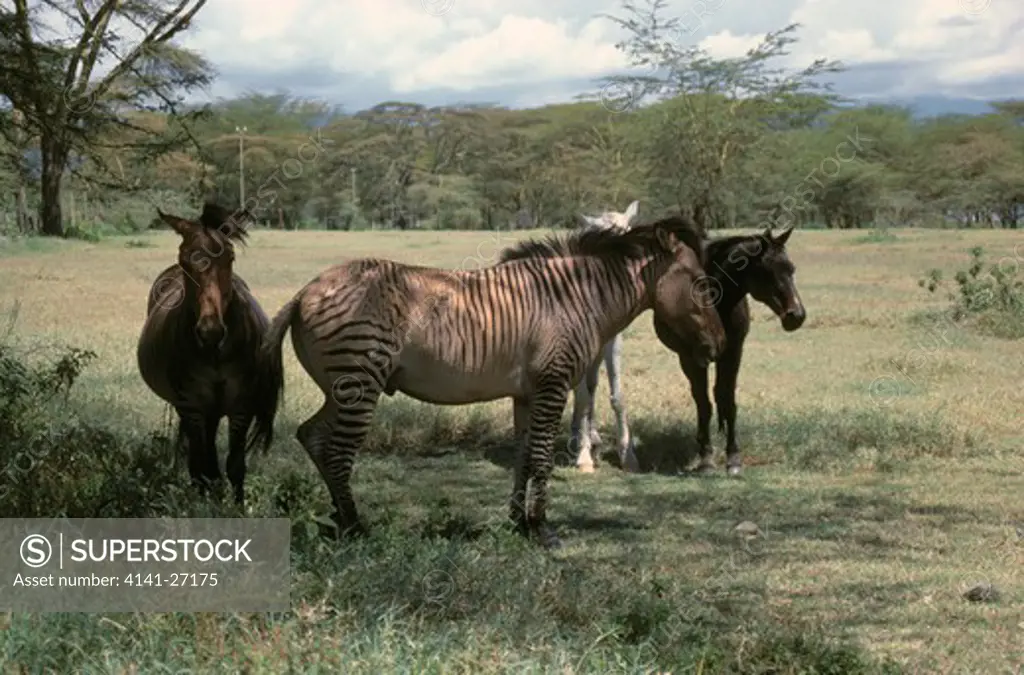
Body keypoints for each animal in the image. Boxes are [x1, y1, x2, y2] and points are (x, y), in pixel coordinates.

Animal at [135, 201, 284, 508]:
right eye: (184, 260)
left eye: (230, 257)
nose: (210, 331)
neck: (215, 353)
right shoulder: (192, 406)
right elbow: (198, 465)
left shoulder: (241, 406)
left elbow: (235, 465)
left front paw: (236, 509)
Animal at [569, 200, 638, 473]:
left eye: (630, 232)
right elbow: (582, 397)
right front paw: (584, 457)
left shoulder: (613, 341)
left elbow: (617, 396)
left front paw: (627, 455)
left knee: (592, 385)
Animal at [651, 225, 802, 475]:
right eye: (766, 271)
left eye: (791, 269)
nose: (796, 316)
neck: (717, 301)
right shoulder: (692, 358)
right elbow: (704, 404)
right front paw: (706, 457)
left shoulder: (733, 352)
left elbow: (727, 400)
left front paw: (733, 457)